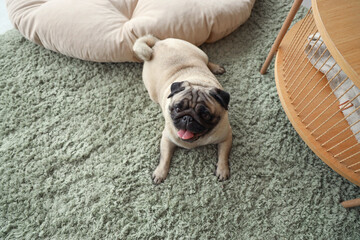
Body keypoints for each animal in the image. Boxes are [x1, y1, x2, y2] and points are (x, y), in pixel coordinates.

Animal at [133, 34, 233, 183]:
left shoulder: (226, 137)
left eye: (205, 115)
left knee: (207, 61)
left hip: (199, 53)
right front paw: (160, 173)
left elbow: (223, 155)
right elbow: (165, 157)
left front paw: (222, 170)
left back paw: (216, 68)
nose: (188, 118)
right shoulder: (167, 139)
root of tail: (158, 43)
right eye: (177, 108)